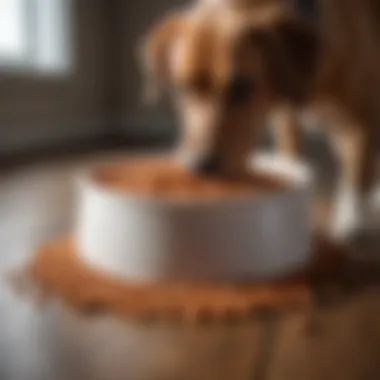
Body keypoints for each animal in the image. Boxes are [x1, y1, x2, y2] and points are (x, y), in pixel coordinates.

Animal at [140, 0, 380, 240]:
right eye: (182, 87)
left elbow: (358, 174)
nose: (200, 166)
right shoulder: (286, 119)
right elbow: (291, 156)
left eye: (242, 87)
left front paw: (353, 221)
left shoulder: (364, 119)